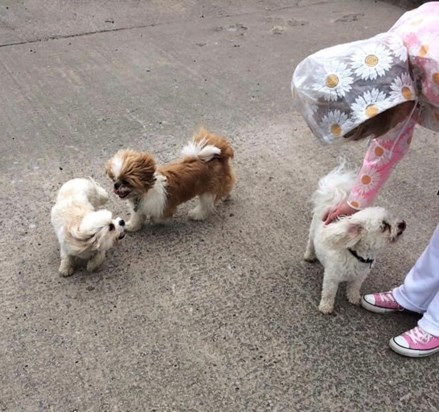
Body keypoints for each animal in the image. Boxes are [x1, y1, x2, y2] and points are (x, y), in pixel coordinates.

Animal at [107, 128, 237, 230]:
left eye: (126, 181)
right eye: (114, 179)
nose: (116, 185)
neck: (144, 193)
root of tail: (217, 157)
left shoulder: (164, 206)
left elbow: (158, 218)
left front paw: (155, 221)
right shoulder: (138, 209)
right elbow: (137, 217)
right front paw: (132, 226)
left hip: (208, 191)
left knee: (206, 204)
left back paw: (196, 214)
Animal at [304, 163, 408, 314]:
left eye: (390, 218)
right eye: (384, 226)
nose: (403, 224)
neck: (358, 256)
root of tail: (333, 202)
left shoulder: (359, 277)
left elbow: (354, 288)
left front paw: (354, 298)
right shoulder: (332, 277)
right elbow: (329, 293)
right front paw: (326, 306)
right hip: (312, 233)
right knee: (310, 244)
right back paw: (309, 256)